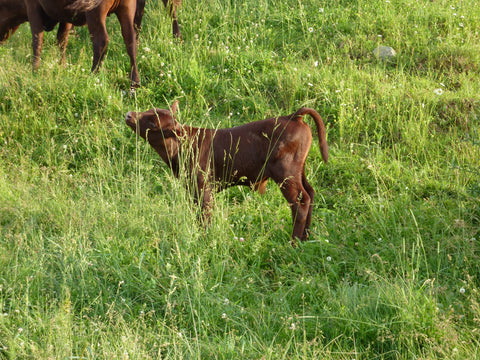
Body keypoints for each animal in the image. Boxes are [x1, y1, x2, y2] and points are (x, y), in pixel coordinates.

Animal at [125, 101, 328, 242]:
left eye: (153, 123)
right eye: (150, 110)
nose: (129, 115)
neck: (184, 145)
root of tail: (293, 116)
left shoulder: (203, 187)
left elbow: (204, 215)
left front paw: (204, 239)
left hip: (285, 173)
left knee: (300, 201)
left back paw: (294, 242)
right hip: (299, 171)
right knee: (310, 193)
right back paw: (306, 237)